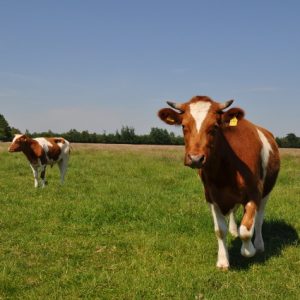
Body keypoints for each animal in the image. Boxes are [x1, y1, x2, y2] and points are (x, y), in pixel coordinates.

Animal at [158, 95, 280, 270]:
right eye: (183, 126)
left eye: (214, 126)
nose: (195, 158)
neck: (225, 171)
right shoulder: (211, 197)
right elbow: (220, 230)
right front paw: (223, 260)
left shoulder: (254, 193)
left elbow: (246, 230)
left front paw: (248, 250)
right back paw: (234, 230)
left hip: (266, 192)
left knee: (258, 219)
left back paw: (259, 245)